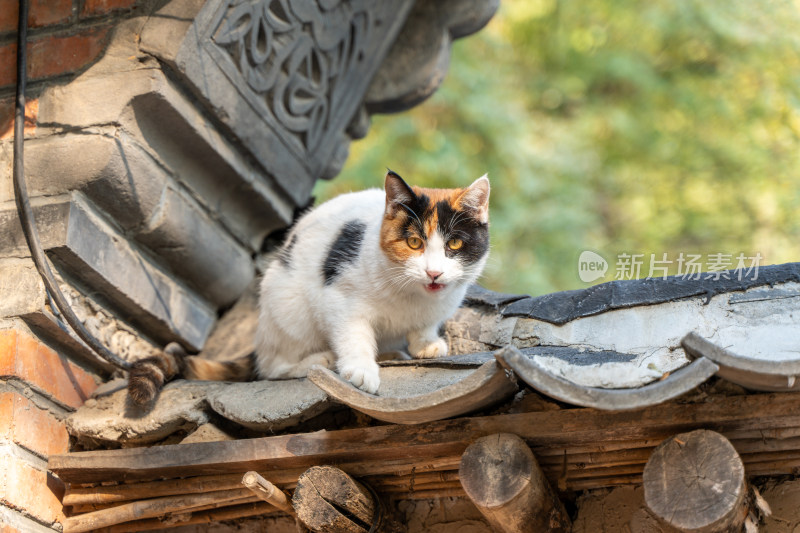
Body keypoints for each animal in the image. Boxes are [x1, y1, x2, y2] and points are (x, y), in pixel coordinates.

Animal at [127, 170, 488, 404]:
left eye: (454, 244)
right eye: (414, 242)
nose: (434, 273)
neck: (412, 297)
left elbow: (424, 327)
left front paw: (426, 344)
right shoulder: (338, 298)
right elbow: (352, 334)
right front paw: (361, 370)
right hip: (287, 306)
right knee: (272, 368)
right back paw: (320, 360)